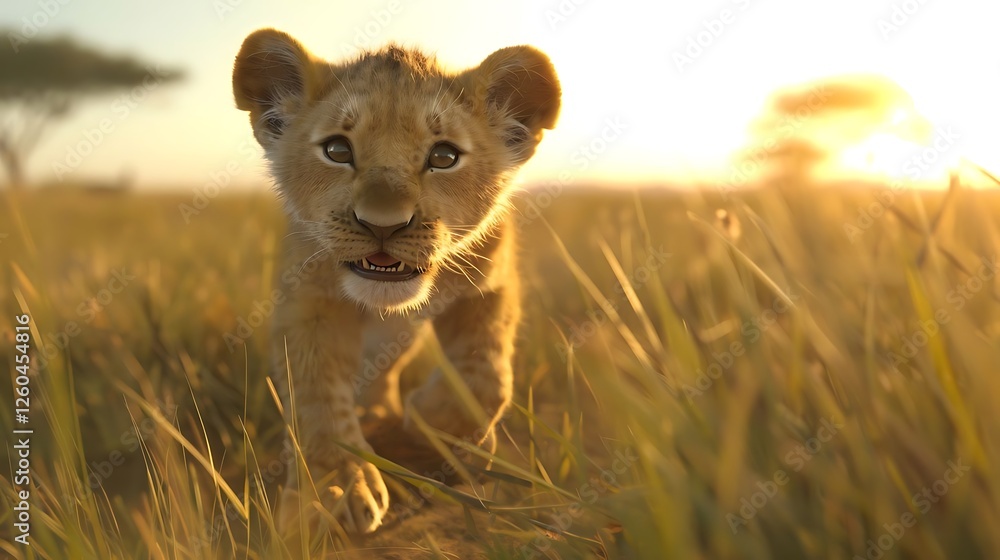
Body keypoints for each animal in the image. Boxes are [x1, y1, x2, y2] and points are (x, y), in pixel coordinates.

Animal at [232, 29, 560, 535]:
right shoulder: (308, 301)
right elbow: (316, 395)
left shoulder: (491, 283)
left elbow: (486, 374)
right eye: (337, 150)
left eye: (443, 157)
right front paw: (335, 486)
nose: (382, 225)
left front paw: (438, 428)